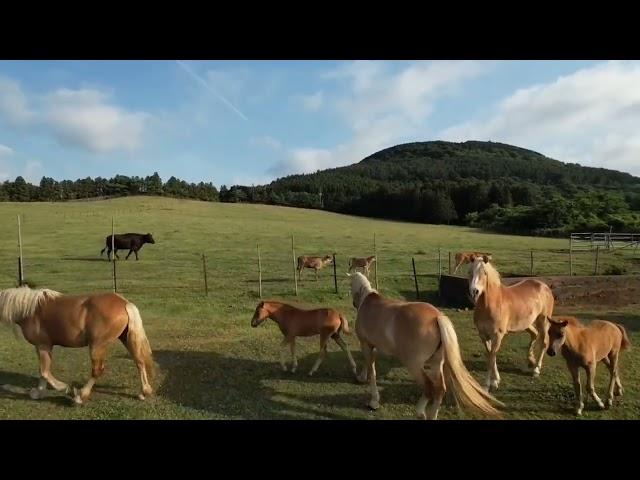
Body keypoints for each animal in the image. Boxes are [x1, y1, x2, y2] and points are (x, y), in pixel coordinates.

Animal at [0, 286, 154, 404]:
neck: (30, 310)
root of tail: (124, 303)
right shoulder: (43, 347)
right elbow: (43, 372)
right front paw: (38, 393)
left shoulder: (42, 345)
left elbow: (44, 371)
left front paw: (65, 388)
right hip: (126, 339)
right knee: (140, 362)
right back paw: (144, 392)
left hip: (97, 346)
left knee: (97, 371)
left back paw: (80, 396)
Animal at [348, 274, 502, 420]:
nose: (354, 303)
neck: (368, 302)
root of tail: (437, 317)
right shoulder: (372, 346)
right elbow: (369, 365)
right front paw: (362, 377)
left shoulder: (365, 345)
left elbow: (372, 371)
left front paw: (373, 401)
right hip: (436, 363)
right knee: (439, 389)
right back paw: (432, 415)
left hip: (414, 365)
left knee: (429, 387)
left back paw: (420, 412)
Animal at [470, 255, 556, 390]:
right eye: (470, 272)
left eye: (484, 273)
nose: (474, 291)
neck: (490, 305)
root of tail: (544, 286)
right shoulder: (483, 336)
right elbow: (489, 355)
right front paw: (495, 380)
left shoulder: (497, 336)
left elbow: (492, 356)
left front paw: (489, 384)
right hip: (526, 324)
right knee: (534, 334)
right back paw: (530, 361)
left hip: (543, 321)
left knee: (544, 342)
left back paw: (536, 369)